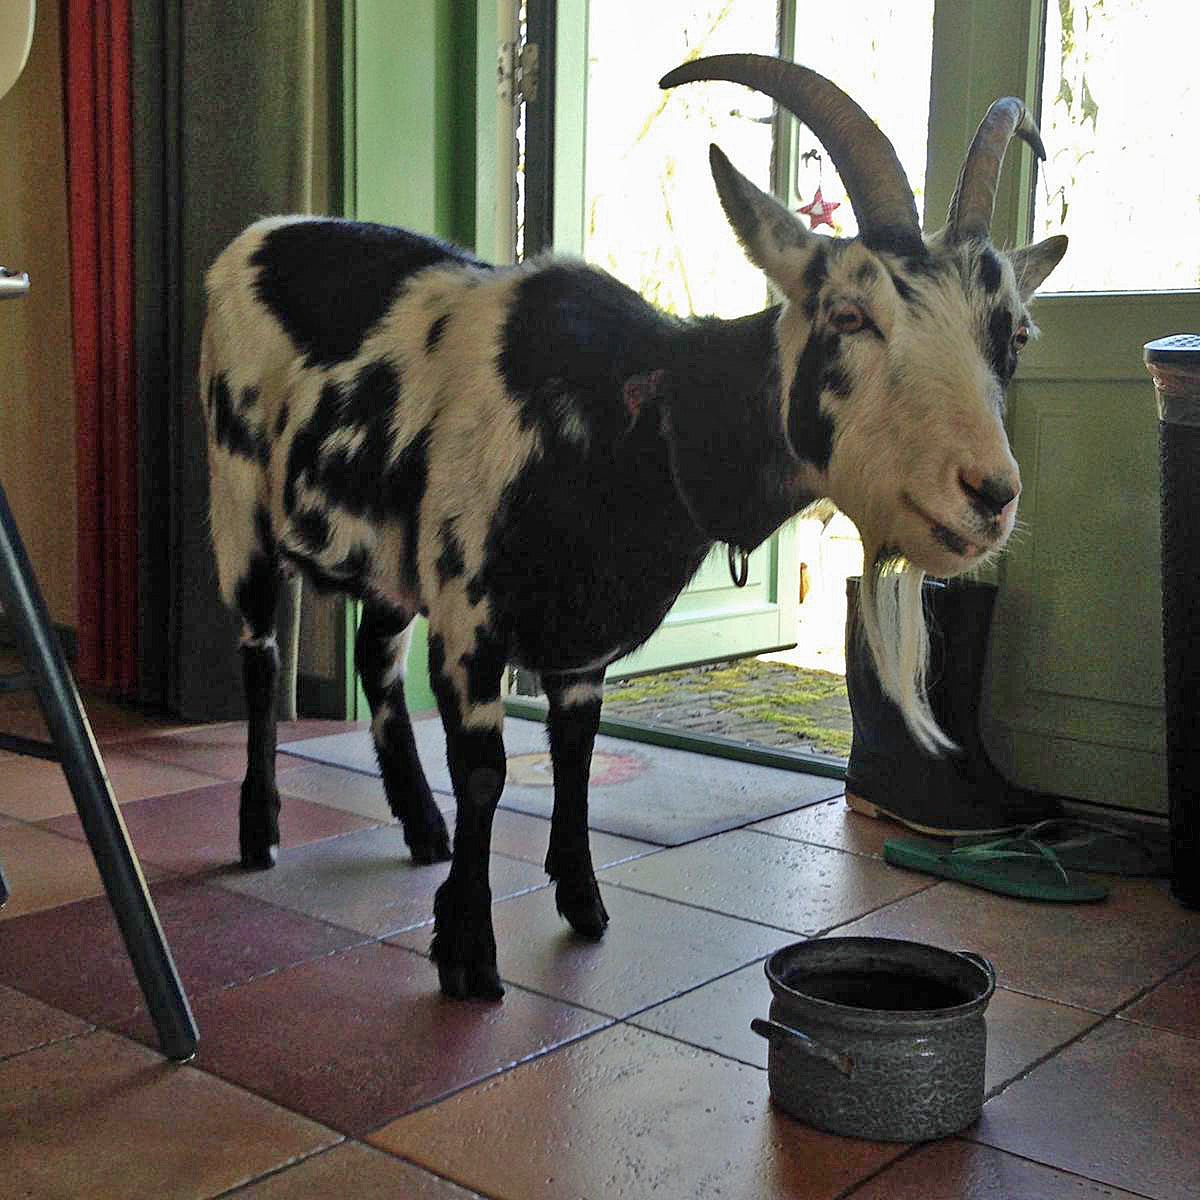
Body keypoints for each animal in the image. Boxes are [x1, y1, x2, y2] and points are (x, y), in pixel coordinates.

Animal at [201, 55, 1067, 1000]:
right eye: (849, 314)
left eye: (1015, 334)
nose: (989, 494)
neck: (634, 416)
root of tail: (261, 235)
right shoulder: (470, 618)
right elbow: (487, 774)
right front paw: (467, 950)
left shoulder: (581, 643)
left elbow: (576, 759)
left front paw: (581, 903)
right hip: (237, 501)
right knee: (258, 655)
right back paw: (259, 829)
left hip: (392, 552)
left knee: (374, 657)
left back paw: (421, 827)